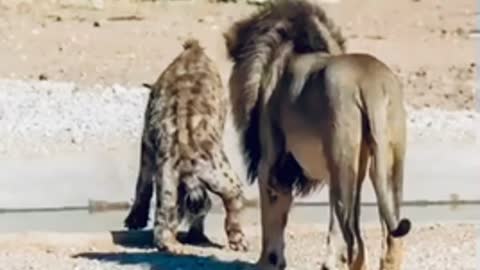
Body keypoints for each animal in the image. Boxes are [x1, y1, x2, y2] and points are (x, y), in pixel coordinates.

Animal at [124, 38, 249, 253]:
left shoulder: (148, 147)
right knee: (229, 203)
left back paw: (177, 245)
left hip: (170, 184)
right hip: (217, 177)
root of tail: (185, 154)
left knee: (163, 225)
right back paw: (234, 239)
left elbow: (143, 184)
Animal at [223, 0, 410, 270]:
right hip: (387, 165)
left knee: (352, 241)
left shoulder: (270, 164)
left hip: (342, 162)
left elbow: (272, 220)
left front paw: (267, 262)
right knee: (390, 242)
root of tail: (370, 83)